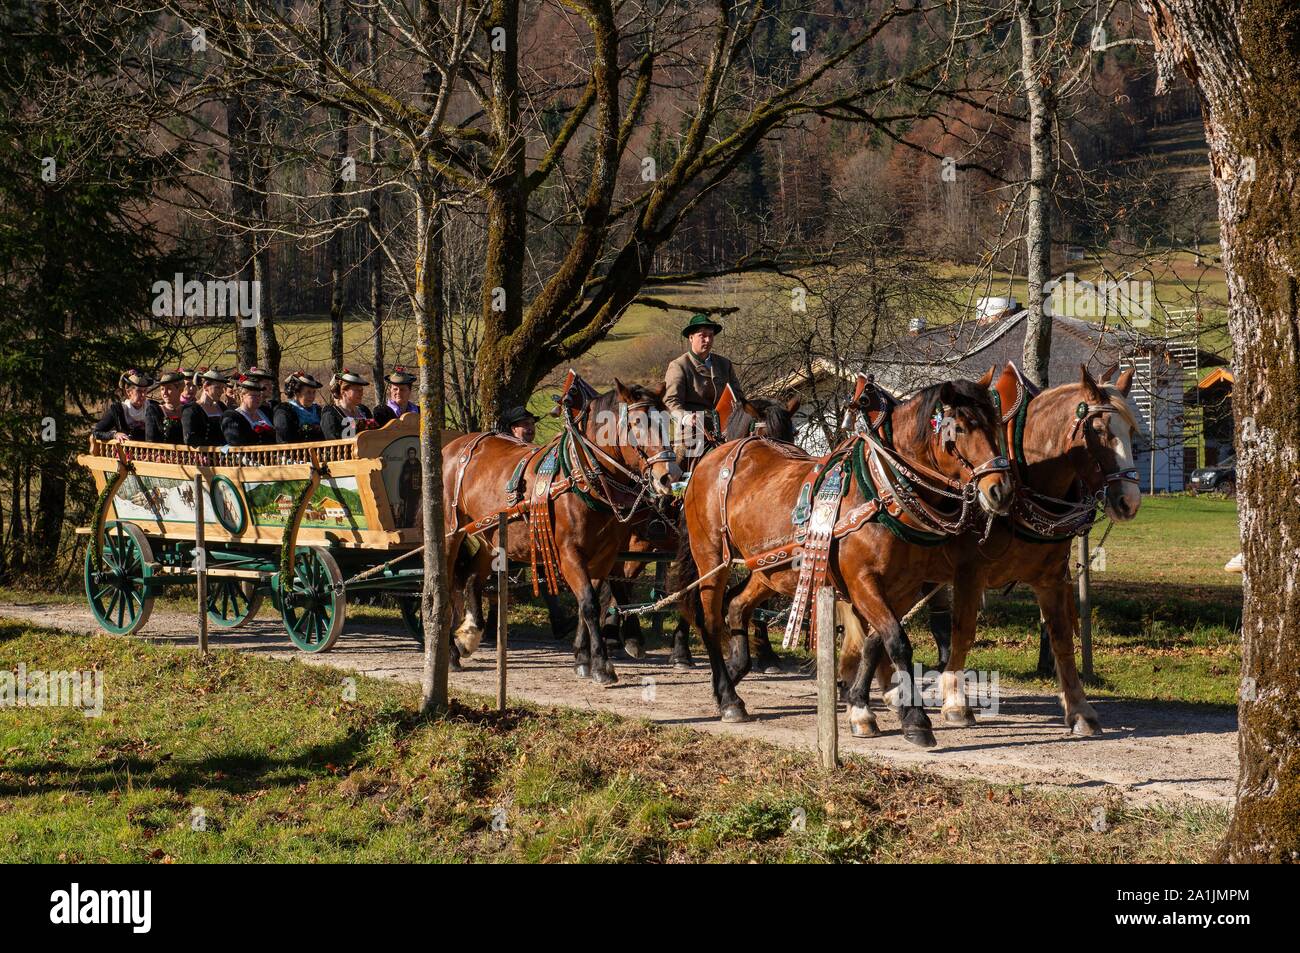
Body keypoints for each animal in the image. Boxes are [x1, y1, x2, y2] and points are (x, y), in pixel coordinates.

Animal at [439, 379, 681, 686]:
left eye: (666, 422)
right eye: (636, 423)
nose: (670, 476)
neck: (581, 477)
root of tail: (455, 445)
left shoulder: (604, 554)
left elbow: (589, 600)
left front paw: (582, 658)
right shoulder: (569, 553)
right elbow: (589, 603)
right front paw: (601, 665)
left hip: (490, 536)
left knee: (471, 578)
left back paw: (469, 635)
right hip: (451, 533)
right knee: (445, 585)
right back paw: (450, 652)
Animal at [681, 374, 1013, 743]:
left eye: (996, 425)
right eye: (962, 428)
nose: (1001, 490)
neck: (881, 493)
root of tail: (716, 455)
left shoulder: (903, 588)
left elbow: (874, 643)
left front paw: (860, 708)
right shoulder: (862, 580)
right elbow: (897, 642)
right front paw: (914, 719)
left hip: (771, 568)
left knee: (738, 605)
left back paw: (734, 674)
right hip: (711, 557)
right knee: (711, 620)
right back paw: (727, 697)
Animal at [837, 364, 1144, 738]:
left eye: (1131, 430)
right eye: (1098, 430)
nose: (1129, 501)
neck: (1027, 476)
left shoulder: (1051, 577)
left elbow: (1061, 639)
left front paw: (1080, 709)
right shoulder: (970, 571)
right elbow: (963, 631)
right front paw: (955, 702)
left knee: (874, 632)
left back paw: (886, 694)